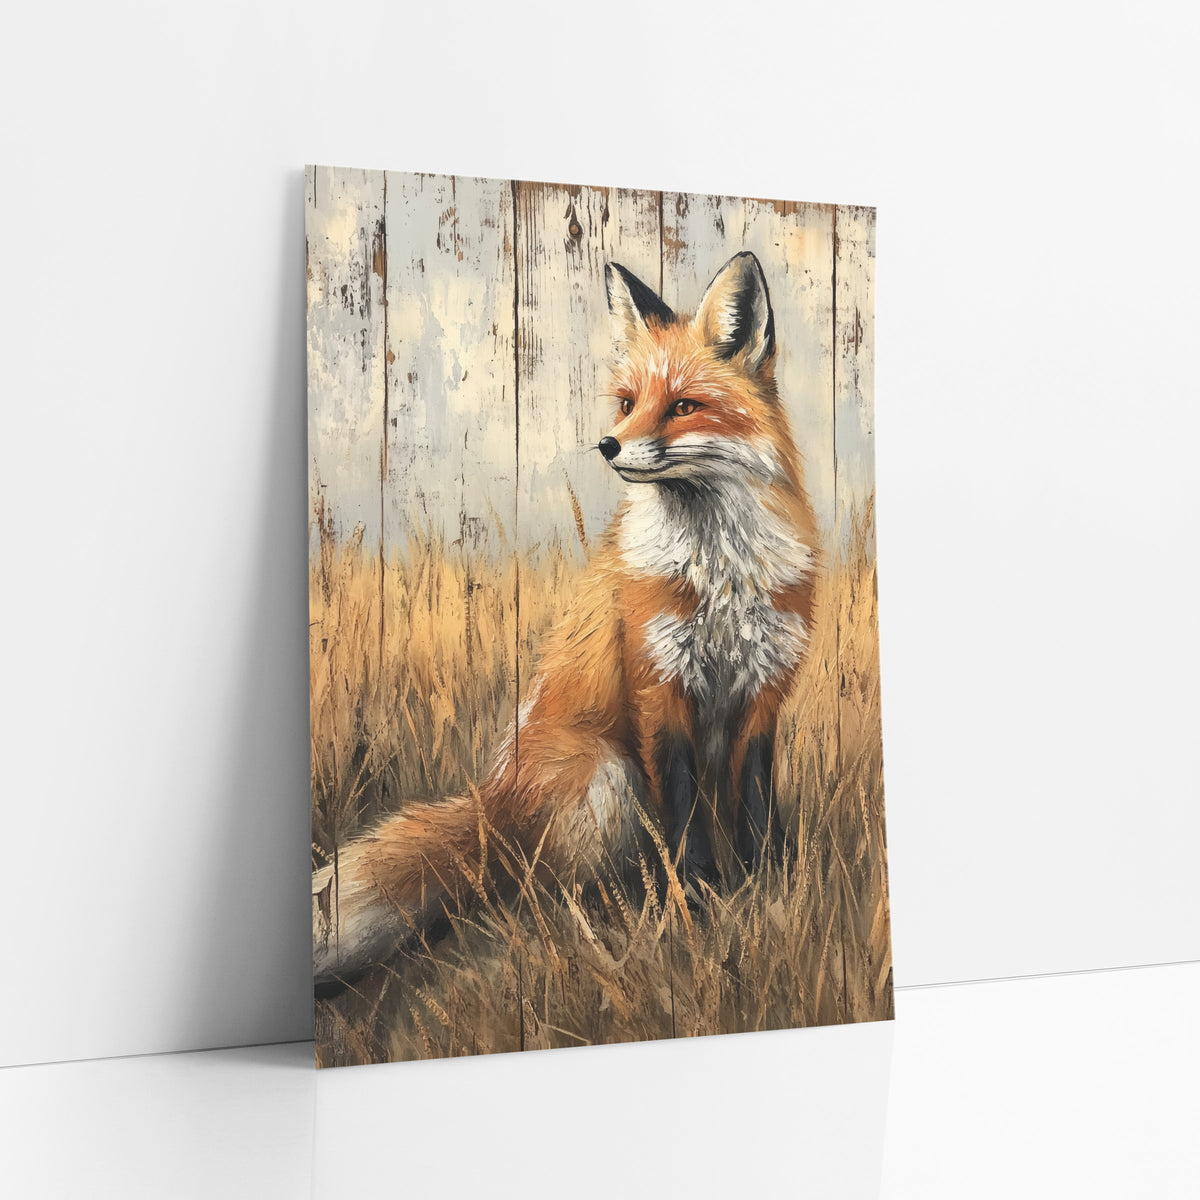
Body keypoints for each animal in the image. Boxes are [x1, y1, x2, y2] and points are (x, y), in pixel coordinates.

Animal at [313, 251, 819, 988]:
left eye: (684, 406)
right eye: (628, 403)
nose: (607, 444)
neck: (717, 573)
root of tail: (495, 801)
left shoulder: (763, 691)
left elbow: (755, 810)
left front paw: (766, 892)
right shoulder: (657, 685)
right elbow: (684, 821)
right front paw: (696, 907)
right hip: (606, 771)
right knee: (545, 892)